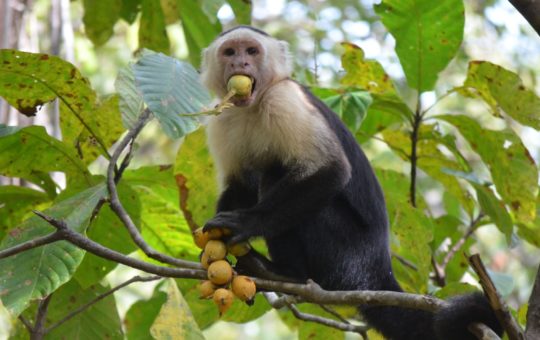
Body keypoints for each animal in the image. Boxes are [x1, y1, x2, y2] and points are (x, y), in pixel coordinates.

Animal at [198, 25, 502, 340]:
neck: (253, 105)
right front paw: (213, 244)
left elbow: (332, 170)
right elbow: (239, 185)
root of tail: (378, 270)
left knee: (277, 175)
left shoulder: (285, 99)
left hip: (347, 255)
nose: (240, 63)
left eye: (252, 51)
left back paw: (285, 272)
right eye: (230, 52)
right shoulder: (222, 118)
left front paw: (247, 223)